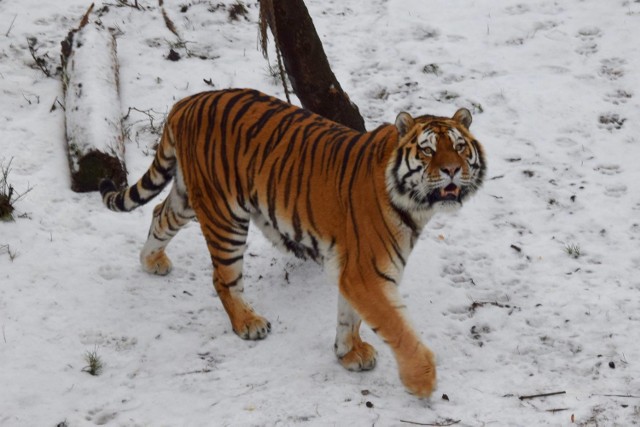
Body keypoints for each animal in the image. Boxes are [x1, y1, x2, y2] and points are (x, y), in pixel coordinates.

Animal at [101, 88, 484, 400]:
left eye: (459, 146)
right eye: (428, 151)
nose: (451, 170)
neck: (417, 206)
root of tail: (187, 102)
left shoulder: (352, 268)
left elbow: (350, 317)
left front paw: (348, 353)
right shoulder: (367, 273)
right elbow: (397, 327)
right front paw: (422, 380)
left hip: (188, 197)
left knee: (159, 213)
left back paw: (151, 261)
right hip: (224, 214)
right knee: (223, 278)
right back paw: (247, 323)